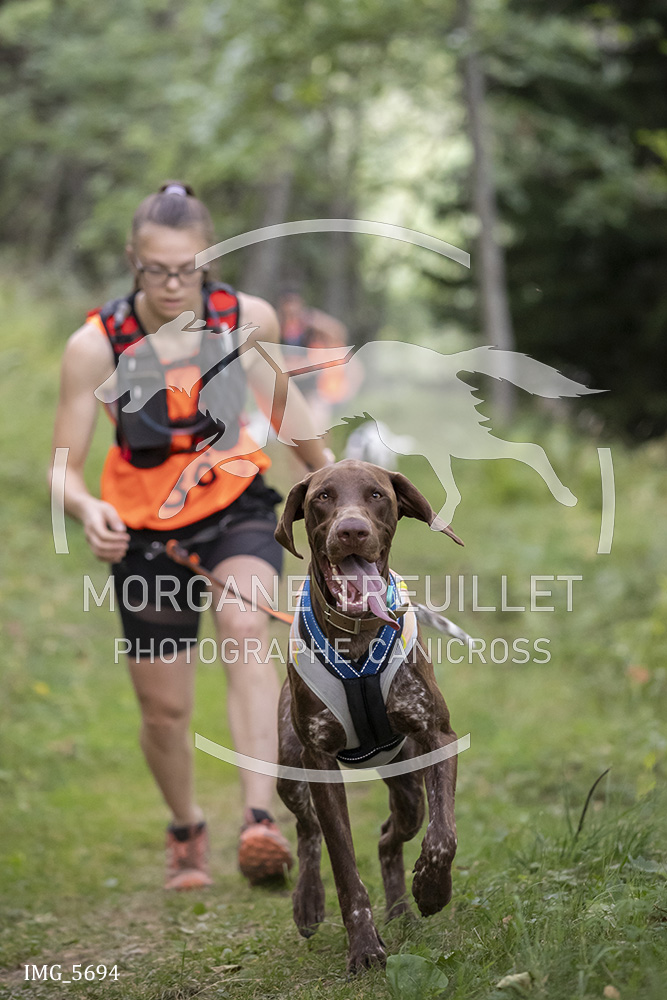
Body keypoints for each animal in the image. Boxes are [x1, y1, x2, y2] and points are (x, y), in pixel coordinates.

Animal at [274, 459, 462, 972]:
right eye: (322, 496)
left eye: (377, 495)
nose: (352, 530)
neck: (357, 636)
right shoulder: (319, 763)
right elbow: (343, 865)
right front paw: (363, 946)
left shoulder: (437, 736)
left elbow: (443, 837)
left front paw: (431, 890)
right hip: (290, 773)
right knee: (307, 829)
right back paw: (308, 901)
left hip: (408, 789)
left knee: (388, 838)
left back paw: (401, 910)